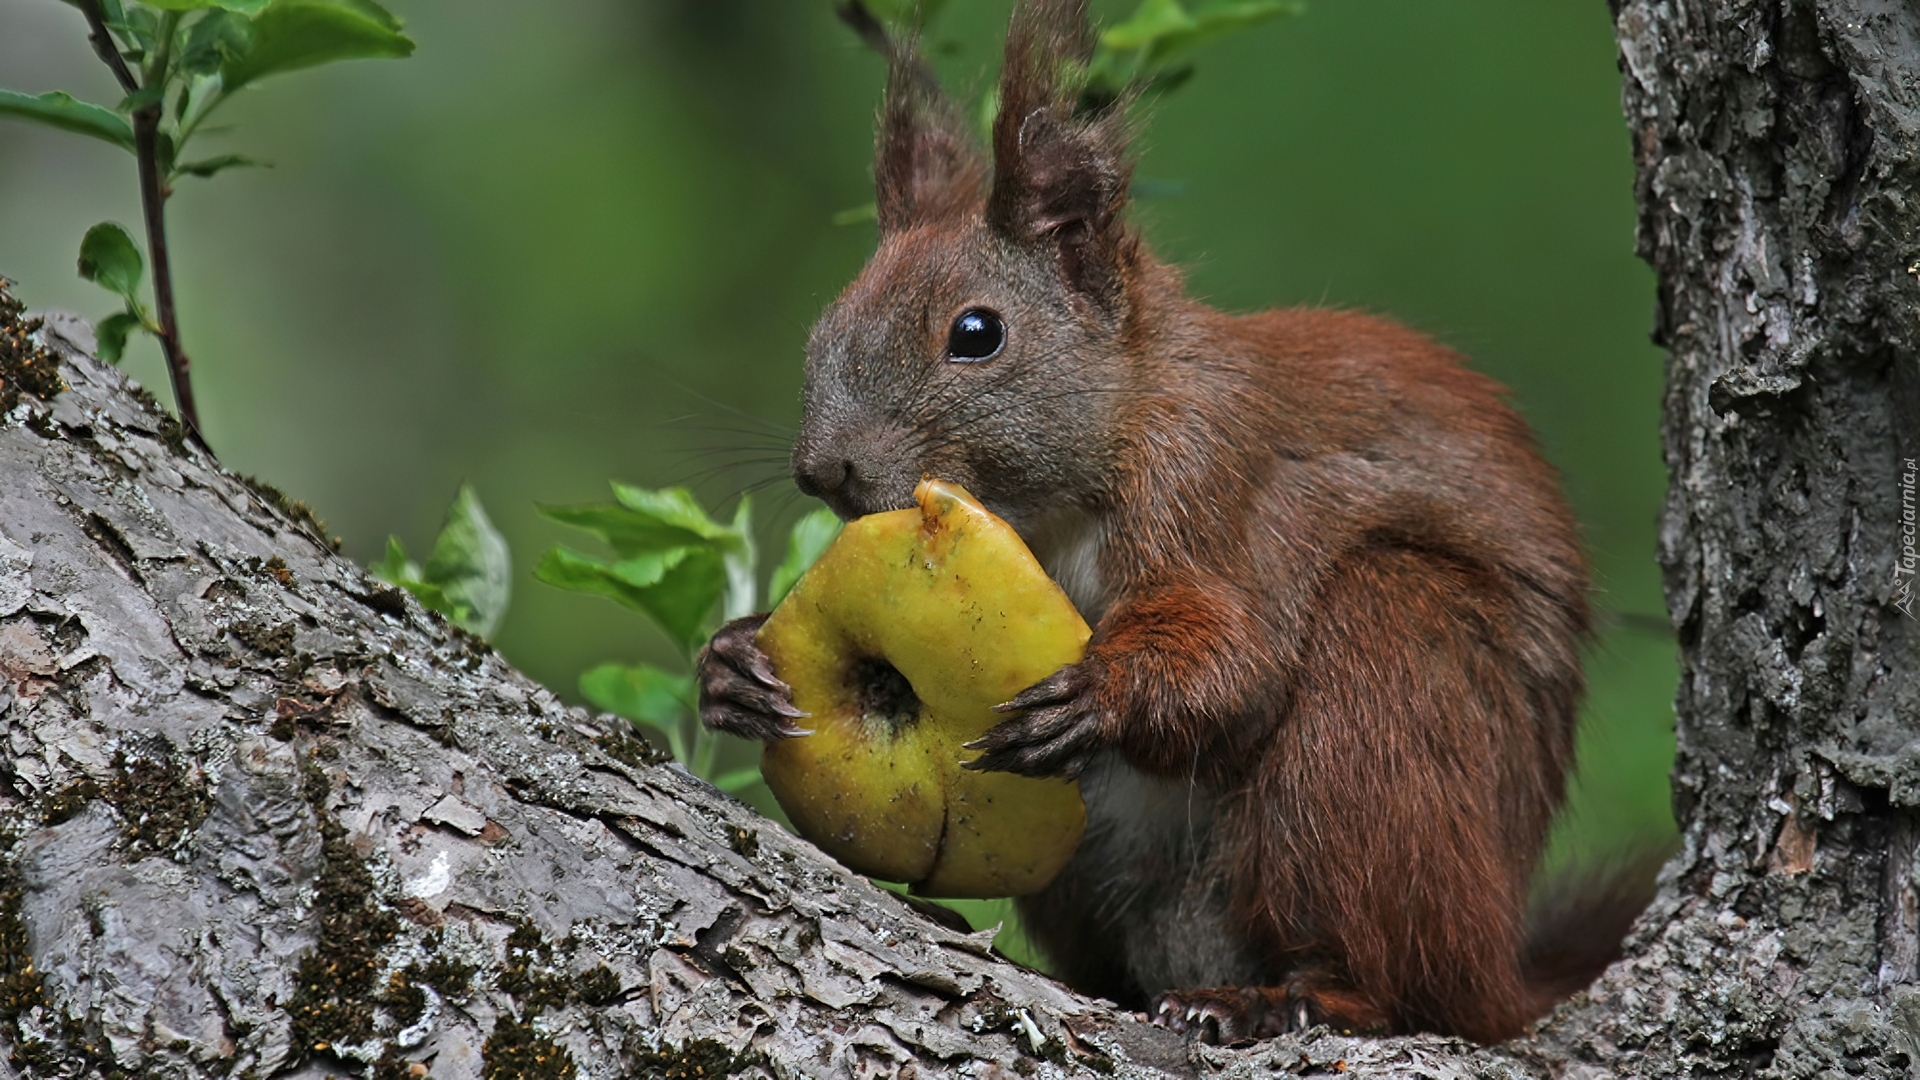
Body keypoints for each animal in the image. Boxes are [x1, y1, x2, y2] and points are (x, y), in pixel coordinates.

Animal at [698, 0, 1658, 1045]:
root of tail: (1502, 973)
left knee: (1402, 983)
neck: (1051, 504)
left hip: (1388, 690)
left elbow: (1234, 660)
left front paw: (1101, 695)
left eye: (976, 334)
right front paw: (735, 661)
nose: (823, 468)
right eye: (825, 328)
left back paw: (1285, 998)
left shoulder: (1216, 480)